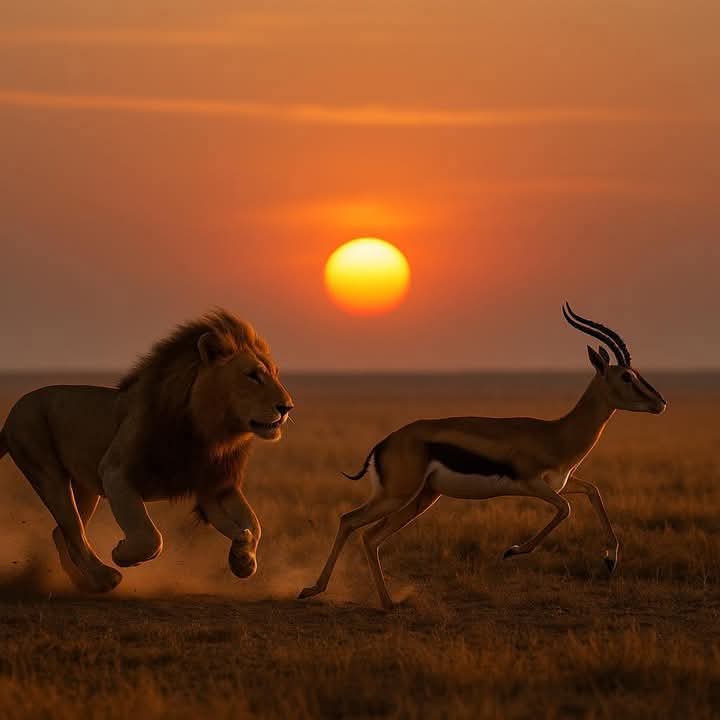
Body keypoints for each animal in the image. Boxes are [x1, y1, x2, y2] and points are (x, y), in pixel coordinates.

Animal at [0, 310, 294, 592]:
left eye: (275, 374)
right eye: (252, 375)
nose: (287, 407)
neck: (210, 431)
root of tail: (11, 415)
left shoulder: (215, 485)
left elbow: (254, 524)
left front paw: (243, 559)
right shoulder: (116, 472)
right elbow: (150, 537)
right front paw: (122, 554)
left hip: (85, 488)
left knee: (62, 533)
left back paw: (86, 584)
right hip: (45, 467)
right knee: (73, 530)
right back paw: (105, 578)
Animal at [299, 304, 667, 609]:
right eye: (626, 376)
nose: (660, 403)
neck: (556, 434)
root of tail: (384, 443)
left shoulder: (561, 482)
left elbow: (593, 491)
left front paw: (610, 558)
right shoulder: (534, 485)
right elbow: (566, 509)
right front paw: (511, 551)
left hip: (420, 499)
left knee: (370, 536)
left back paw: (381, 601)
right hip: (397, 496)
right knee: (351, 521)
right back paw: (323, 592)